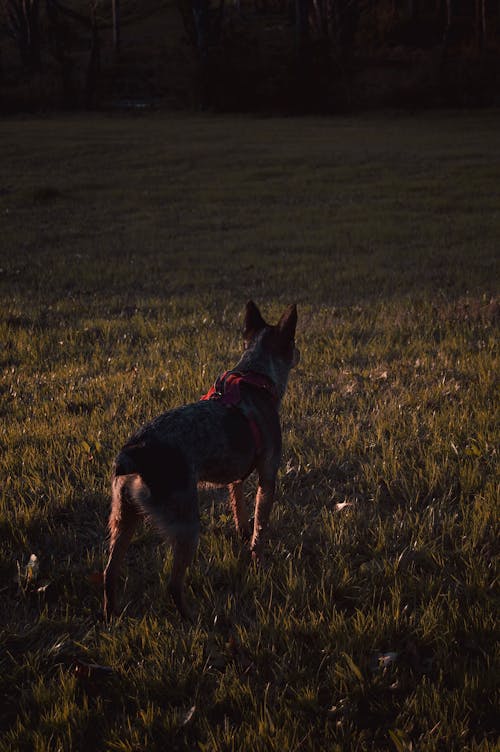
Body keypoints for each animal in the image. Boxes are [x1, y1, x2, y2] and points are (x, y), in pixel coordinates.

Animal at [102, 302, 296, 620]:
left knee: (109, 573)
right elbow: (260, 528)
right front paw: (259, 561)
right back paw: (193, 618)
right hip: (187, 526)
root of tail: (135, 452)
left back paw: (112, 615)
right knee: (172, 585)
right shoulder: (268, 477)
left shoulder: (235, 477)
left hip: (123, 517)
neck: (254, 375)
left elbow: (240, 508)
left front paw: (242, 533)